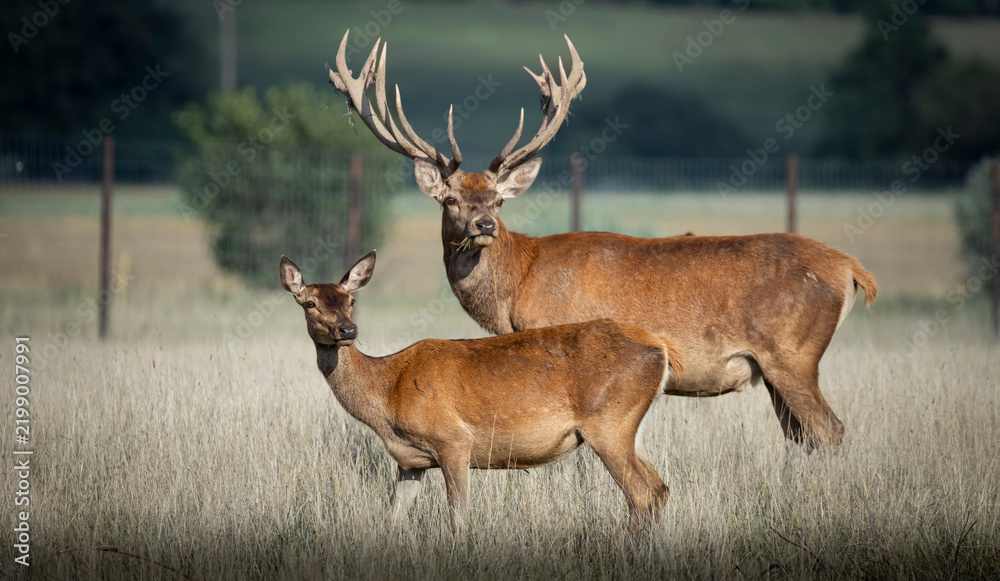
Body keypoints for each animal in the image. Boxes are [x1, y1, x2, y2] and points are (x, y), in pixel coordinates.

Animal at [280, 251, 683, 536]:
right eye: (310, 303)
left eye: (351, 301)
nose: (347, 330)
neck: (388, 395)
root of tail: (661, 349)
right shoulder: (410, 461)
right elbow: (392, 519)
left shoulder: (453, 441)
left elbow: (457, 520)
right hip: (632, 428)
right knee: (659, 489)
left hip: (609, 422)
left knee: (641, 495)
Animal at [326, 31, 877, 452]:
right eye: (451, 200)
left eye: (499, 201)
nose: (484, 226)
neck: (514, 290)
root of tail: (851, 269)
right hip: (777, 367)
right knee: (802, 437)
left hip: (793, 354)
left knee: (830, 430)